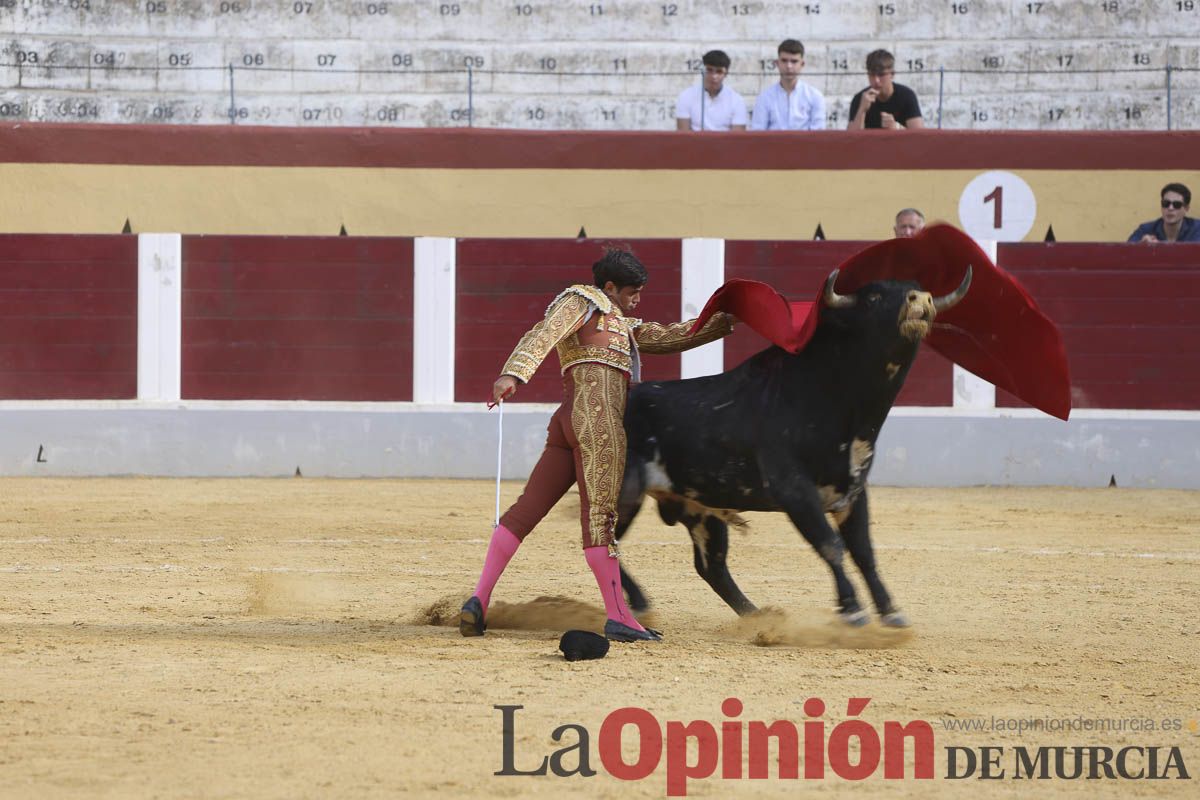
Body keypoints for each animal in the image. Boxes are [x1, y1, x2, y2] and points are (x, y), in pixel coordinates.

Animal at [614, 268, 969, 623]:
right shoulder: (794, 490)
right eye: (873, 297)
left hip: (699, 507)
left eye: (916, 288)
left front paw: (891, 614)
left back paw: (757, 617)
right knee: (608, 542)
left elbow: (864, 552)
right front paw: (853, 611)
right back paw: (641, 605)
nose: (921, 300)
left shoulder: (853, 491)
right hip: (626, 494)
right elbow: (830, 545)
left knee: (711, 566)